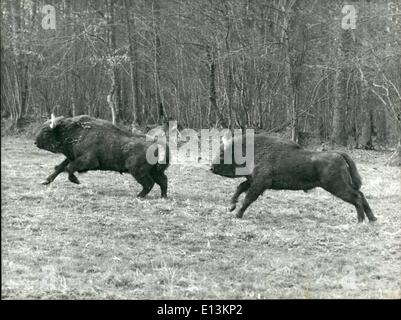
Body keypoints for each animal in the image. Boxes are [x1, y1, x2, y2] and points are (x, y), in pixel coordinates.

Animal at [34, 112, 170, 198]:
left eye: (46, 131)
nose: (35, 142)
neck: (73, 132)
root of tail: (159, 144)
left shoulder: (88, 161)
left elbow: (69, 168)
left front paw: (76, 181)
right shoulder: (71, 157)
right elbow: (60, 167)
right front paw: (45, 181)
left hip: (138, 171)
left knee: (149, 184)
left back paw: (138, 196)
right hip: (155, 171)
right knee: (163, 181)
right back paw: (163, 197)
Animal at [211, 132, 376, 222]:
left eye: (222, 154)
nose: (211, 168)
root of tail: (338, 154)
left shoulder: (260, 183)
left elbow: (248, 198)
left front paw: (237, 214)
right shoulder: (252, 181)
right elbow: (240, 188)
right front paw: (231, 207)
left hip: (337, 187)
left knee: (356, 197)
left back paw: (360, 221)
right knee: (361, 195)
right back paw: (372, 219)